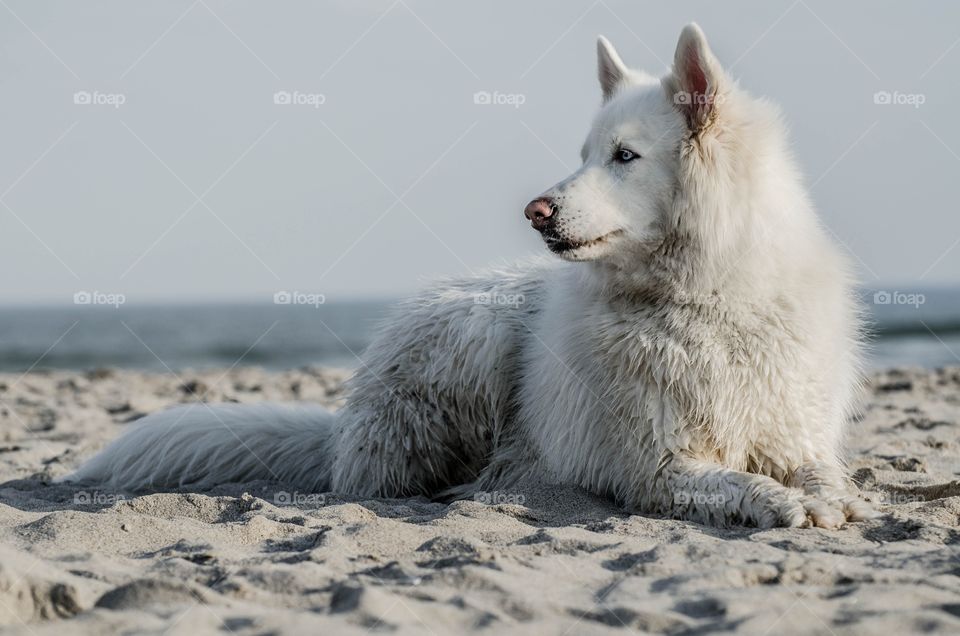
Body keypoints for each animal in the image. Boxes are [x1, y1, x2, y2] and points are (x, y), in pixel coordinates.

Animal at [67, 24, 876, 528]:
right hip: (479, 332)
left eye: (625, 156)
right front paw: (777, 503)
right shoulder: (654, 464)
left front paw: (829, 498)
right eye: (584, 153)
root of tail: (341, 428)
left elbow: (824, 474)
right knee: (392, 479)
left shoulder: (795, 433)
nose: (535, 210)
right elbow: (732, 480)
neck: (706, 298)